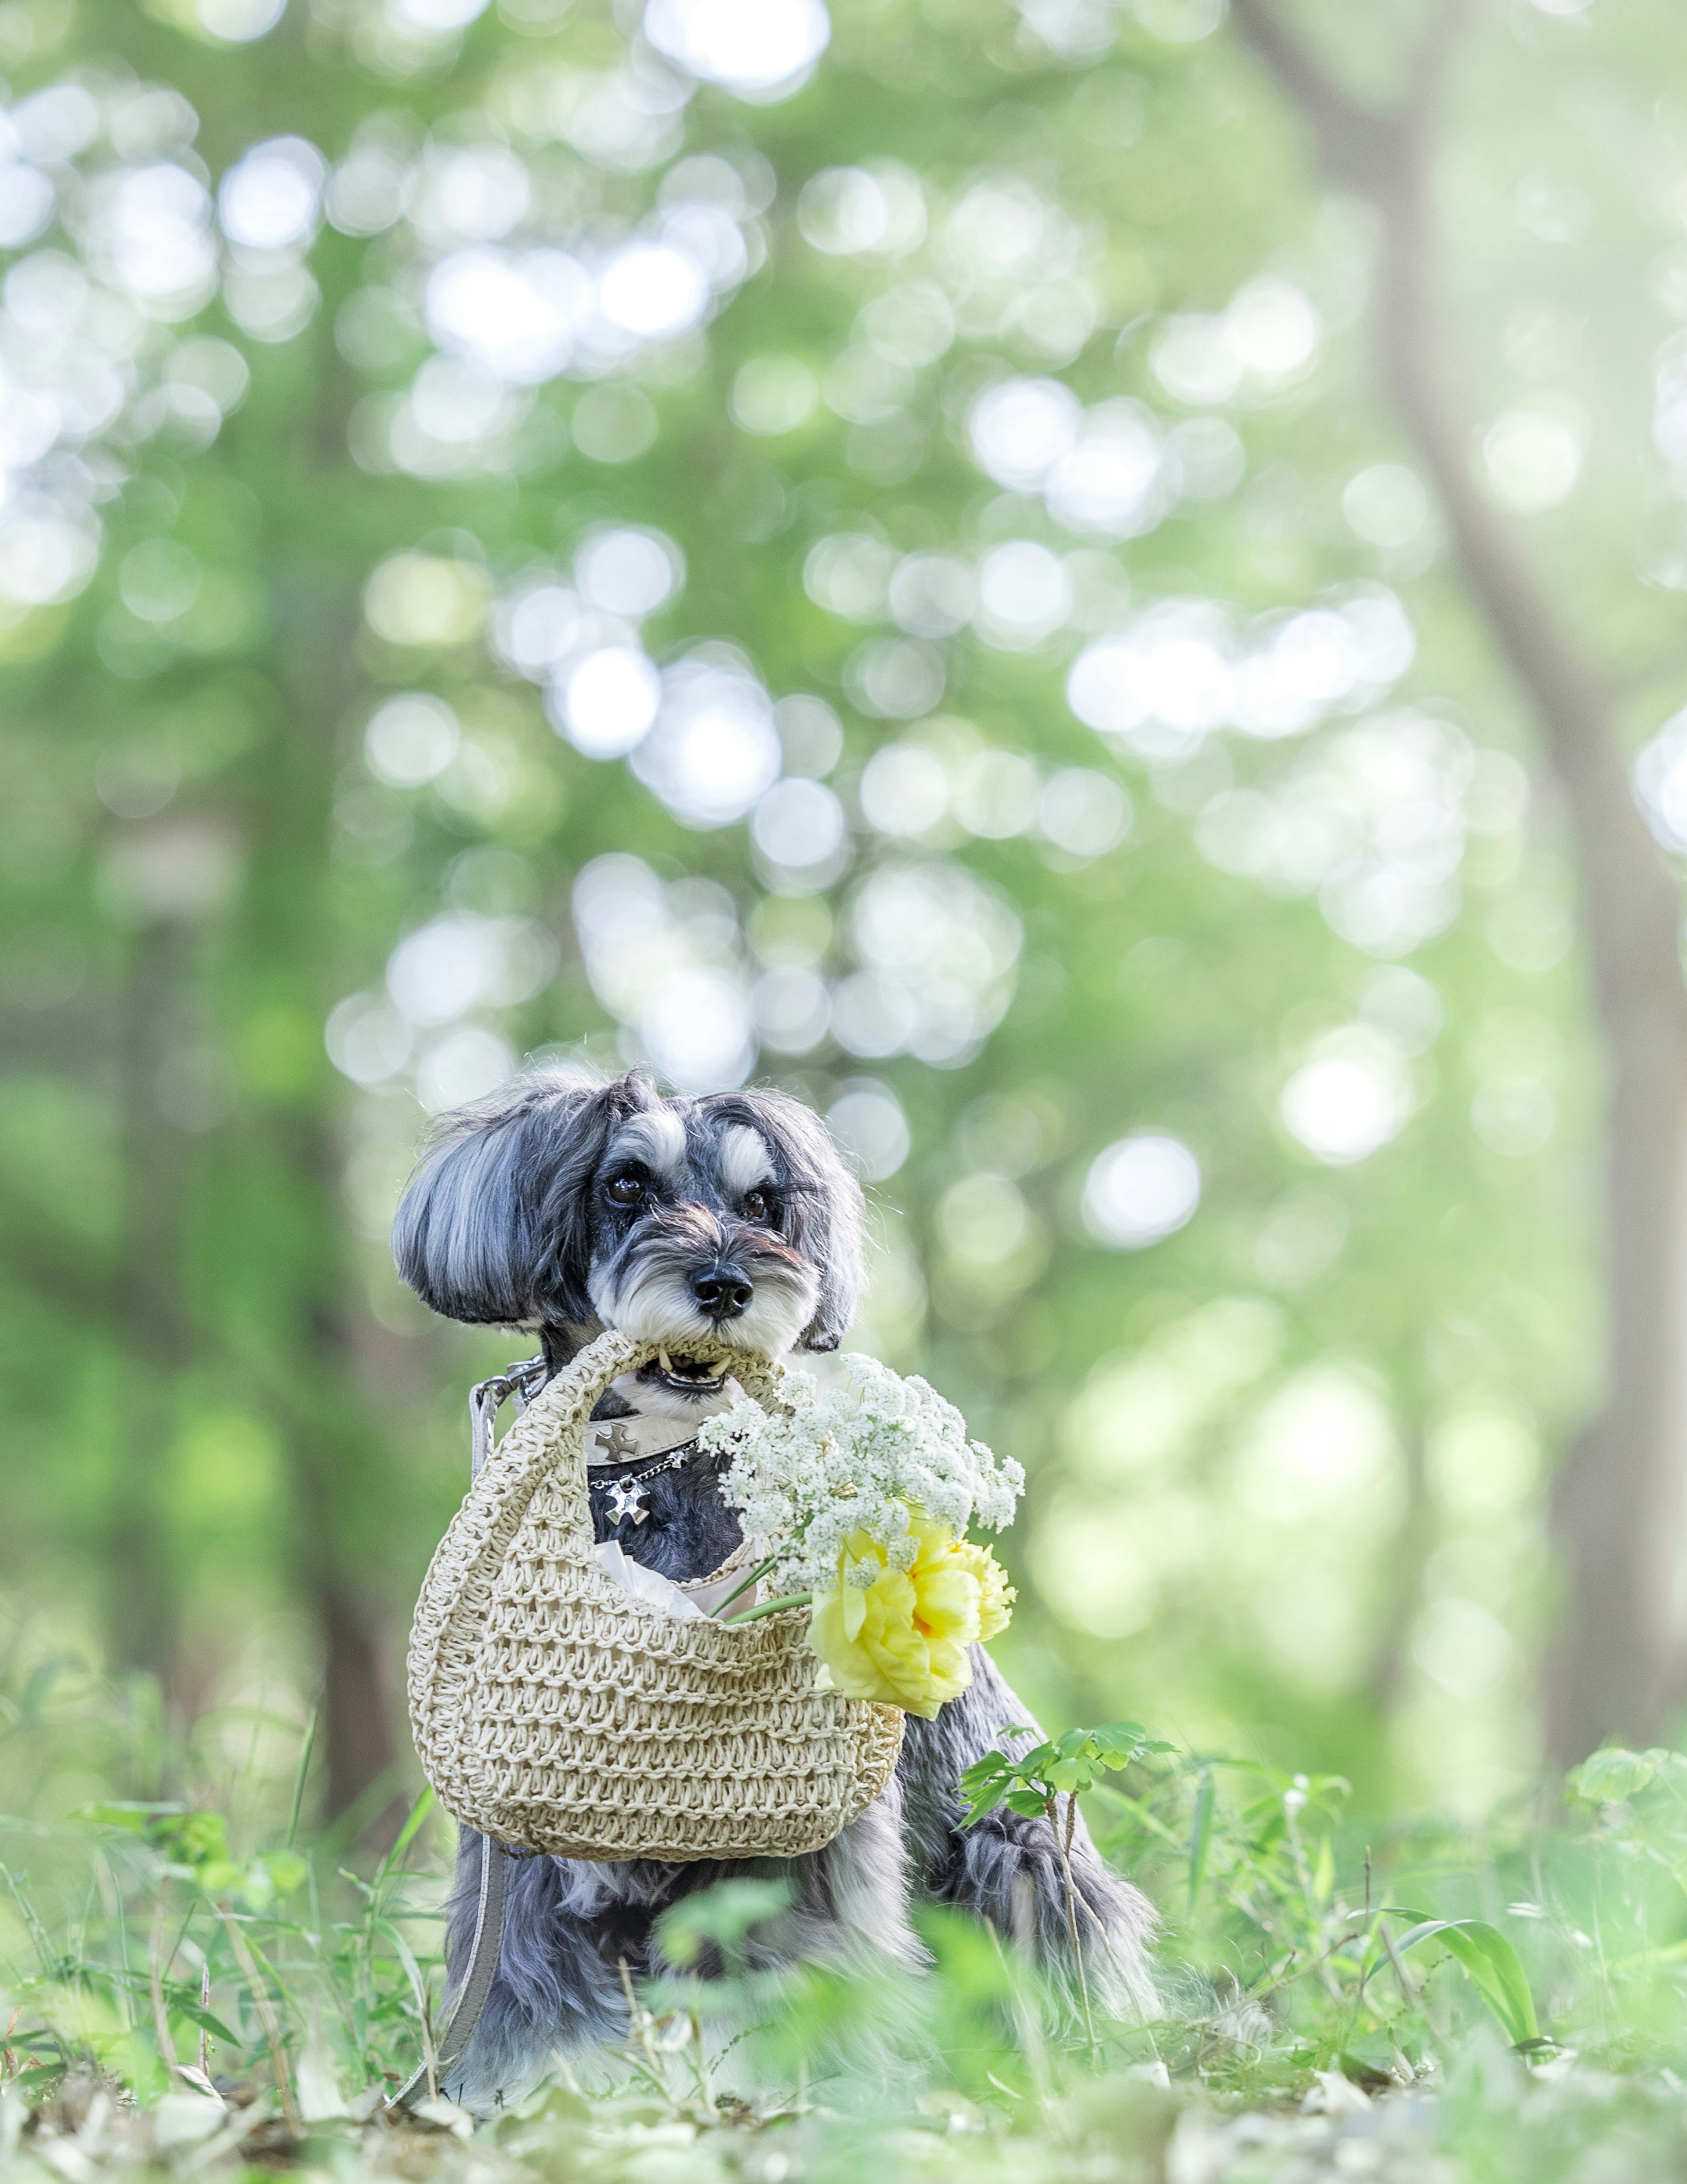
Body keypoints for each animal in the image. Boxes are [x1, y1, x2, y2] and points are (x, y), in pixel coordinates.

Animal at [393, 1066, 1152, 2105]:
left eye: (763, 1204)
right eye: (626, 1184)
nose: (725, 1284)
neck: (647, 1478)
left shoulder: (808, 1851)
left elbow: (816, 1968)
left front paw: (832, 2088)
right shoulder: (516, 1864)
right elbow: (522, 1999)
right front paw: (512, 2101)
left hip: (1020, 1851)